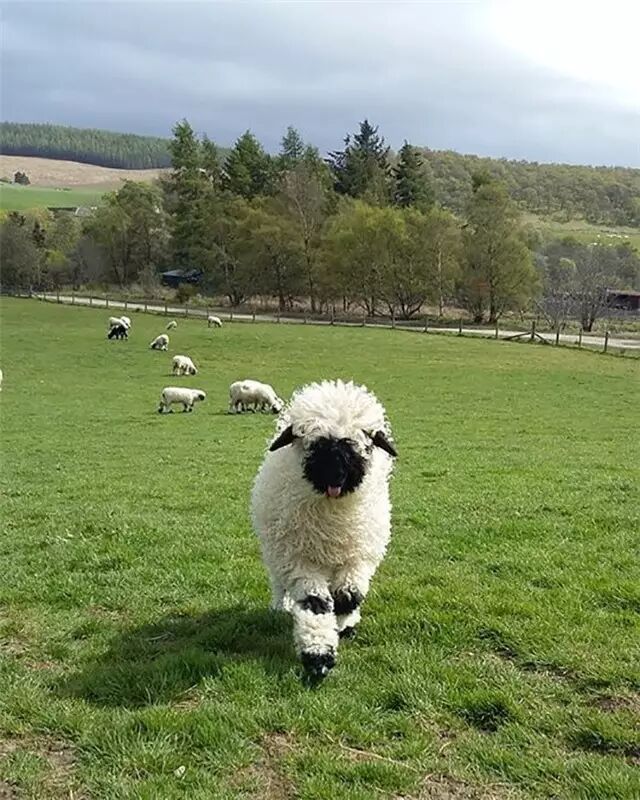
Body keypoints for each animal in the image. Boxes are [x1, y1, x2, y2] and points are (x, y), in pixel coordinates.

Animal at [251, 379, 398, 680]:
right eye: (316, 444)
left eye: (358, 443)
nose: (336, 476)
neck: (332, 520)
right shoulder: (299, 562)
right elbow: (316, 604)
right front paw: (317, 655)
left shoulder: (358, 558)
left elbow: (348, 597)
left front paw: (343, 624)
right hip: (277, 555)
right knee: (280, 584)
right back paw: (280, 607)